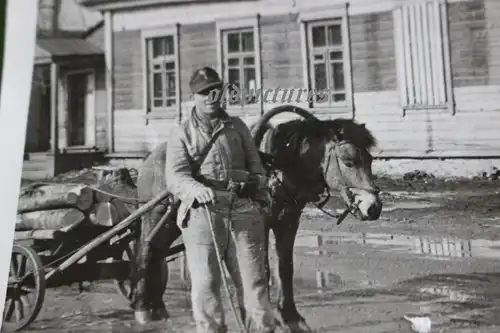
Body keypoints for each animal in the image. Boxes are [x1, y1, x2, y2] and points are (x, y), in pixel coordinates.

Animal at [131, 103, 380, 330]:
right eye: (348, 161)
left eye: (370, 159)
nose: (374, 208)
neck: (276, 165)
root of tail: (151, 158)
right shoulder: (260, 223)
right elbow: (264, 268)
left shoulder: (288, 222)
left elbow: (285, 267)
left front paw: (290, 317)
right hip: (156, 216)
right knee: (147, 250)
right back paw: (143, 308)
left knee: (157, 252)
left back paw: (156, 305)